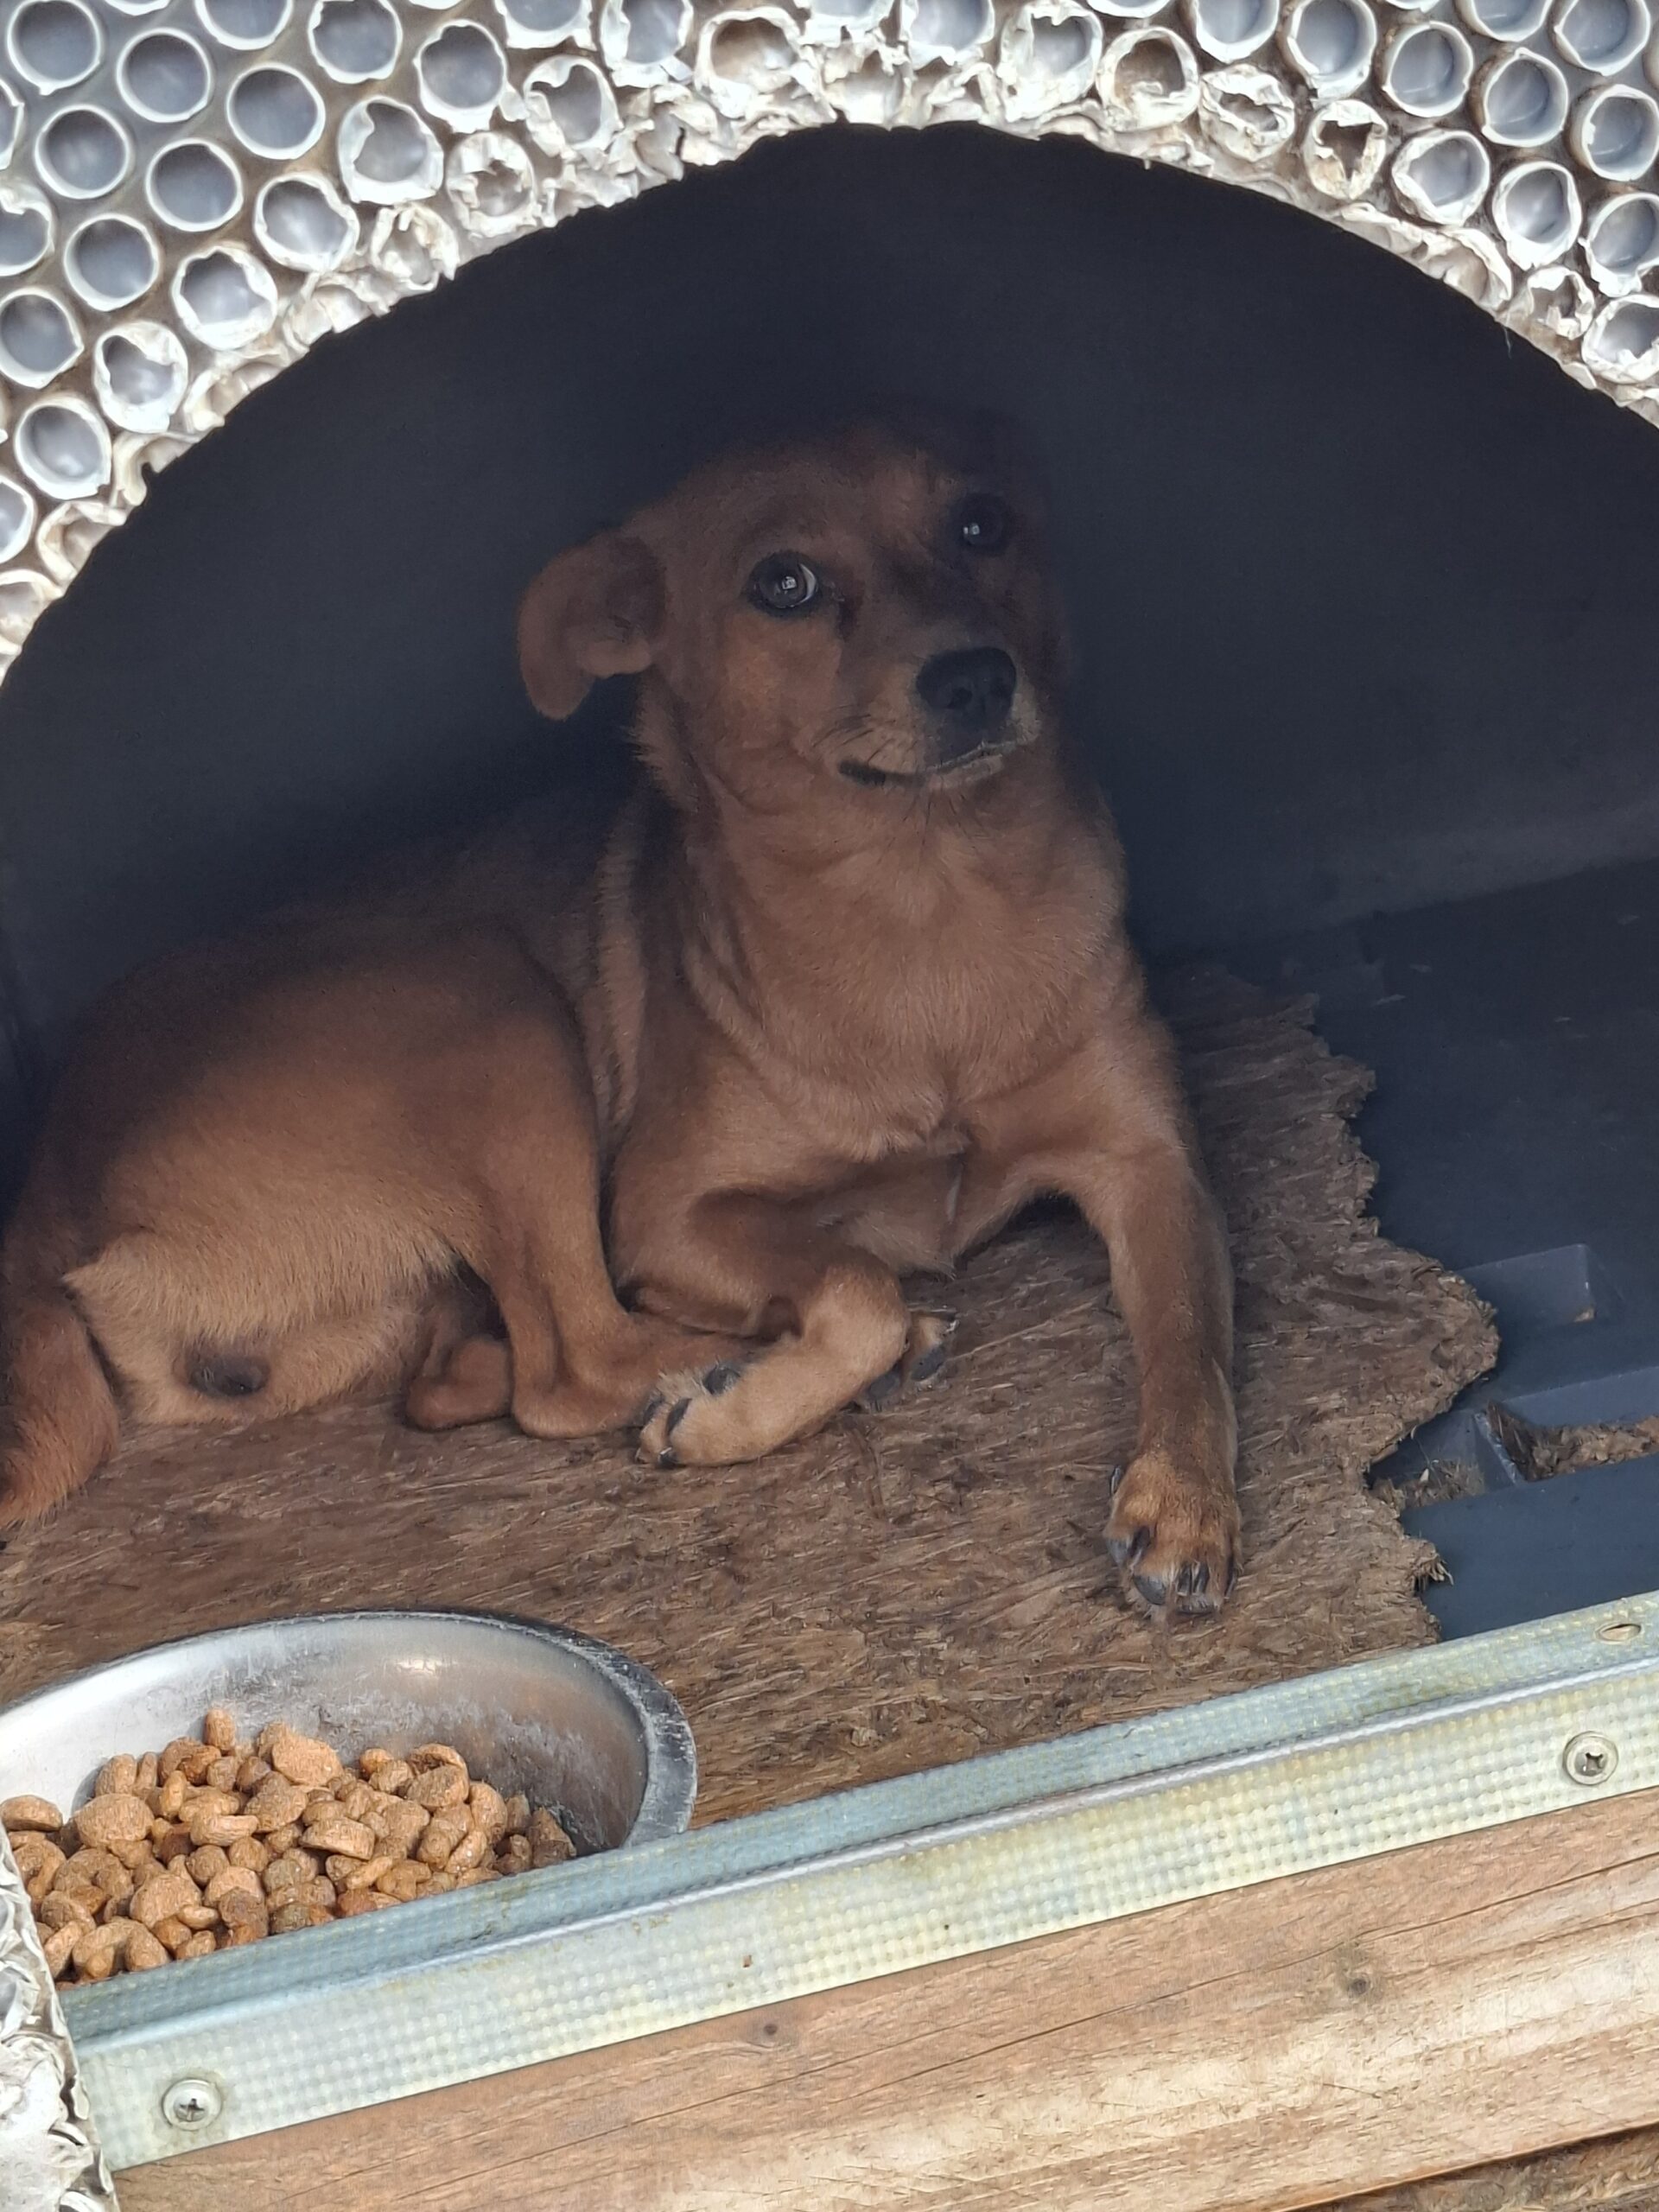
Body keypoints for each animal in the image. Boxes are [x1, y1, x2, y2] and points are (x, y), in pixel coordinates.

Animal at [0, 410, 1239, 1616]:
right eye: (784, 583)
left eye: (982, 523)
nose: (977, 676)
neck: (926, 911)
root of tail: (47, 1181)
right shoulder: (667, 1213)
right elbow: (856, 1281)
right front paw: (747, 1406)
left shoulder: (1151, 1164)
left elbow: (1193, 1342)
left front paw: (1186, 1503)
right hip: (488, 1007)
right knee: (571, 1363)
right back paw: (737, 1374)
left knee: (457, 1382)